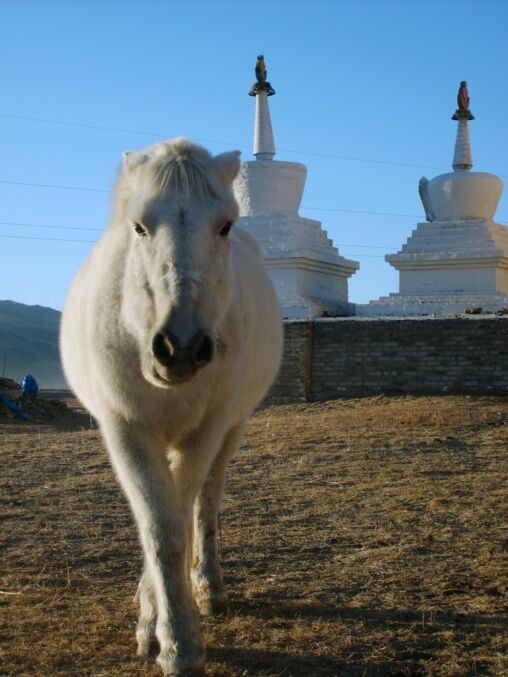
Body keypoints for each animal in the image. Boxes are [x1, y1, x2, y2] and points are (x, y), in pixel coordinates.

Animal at [60, 138, 283, 675]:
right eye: (139, 226)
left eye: (226, 225)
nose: (180, 347)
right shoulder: (126, 431)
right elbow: (158, 528)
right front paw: (159, 630)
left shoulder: (206, 431)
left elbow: (179, 519)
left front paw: (176, 634)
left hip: (230, 430)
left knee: (207, 501)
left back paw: (209, 588)